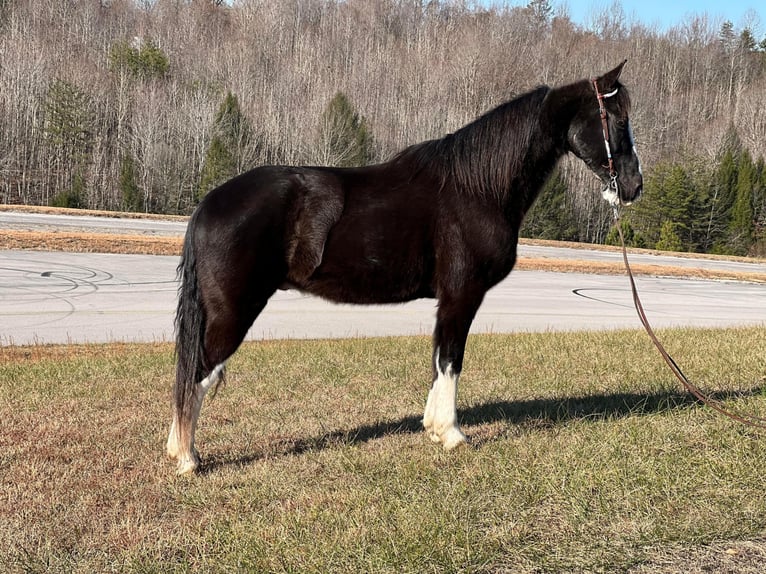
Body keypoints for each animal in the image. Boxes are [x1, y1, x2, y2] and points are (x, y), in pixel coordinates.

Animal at [166, 62, 640, 476]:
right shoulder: (462, 295)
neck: (476, 187)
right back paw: (187, 459)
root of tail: (209, 204)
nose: (633, 186)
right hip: (232, 312)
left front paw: (432, 427)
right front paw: (452, 435)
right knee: (199, 374)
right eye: (617, 121)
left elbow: (438, 359)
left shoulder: (448, 300)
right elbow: (451, 358)